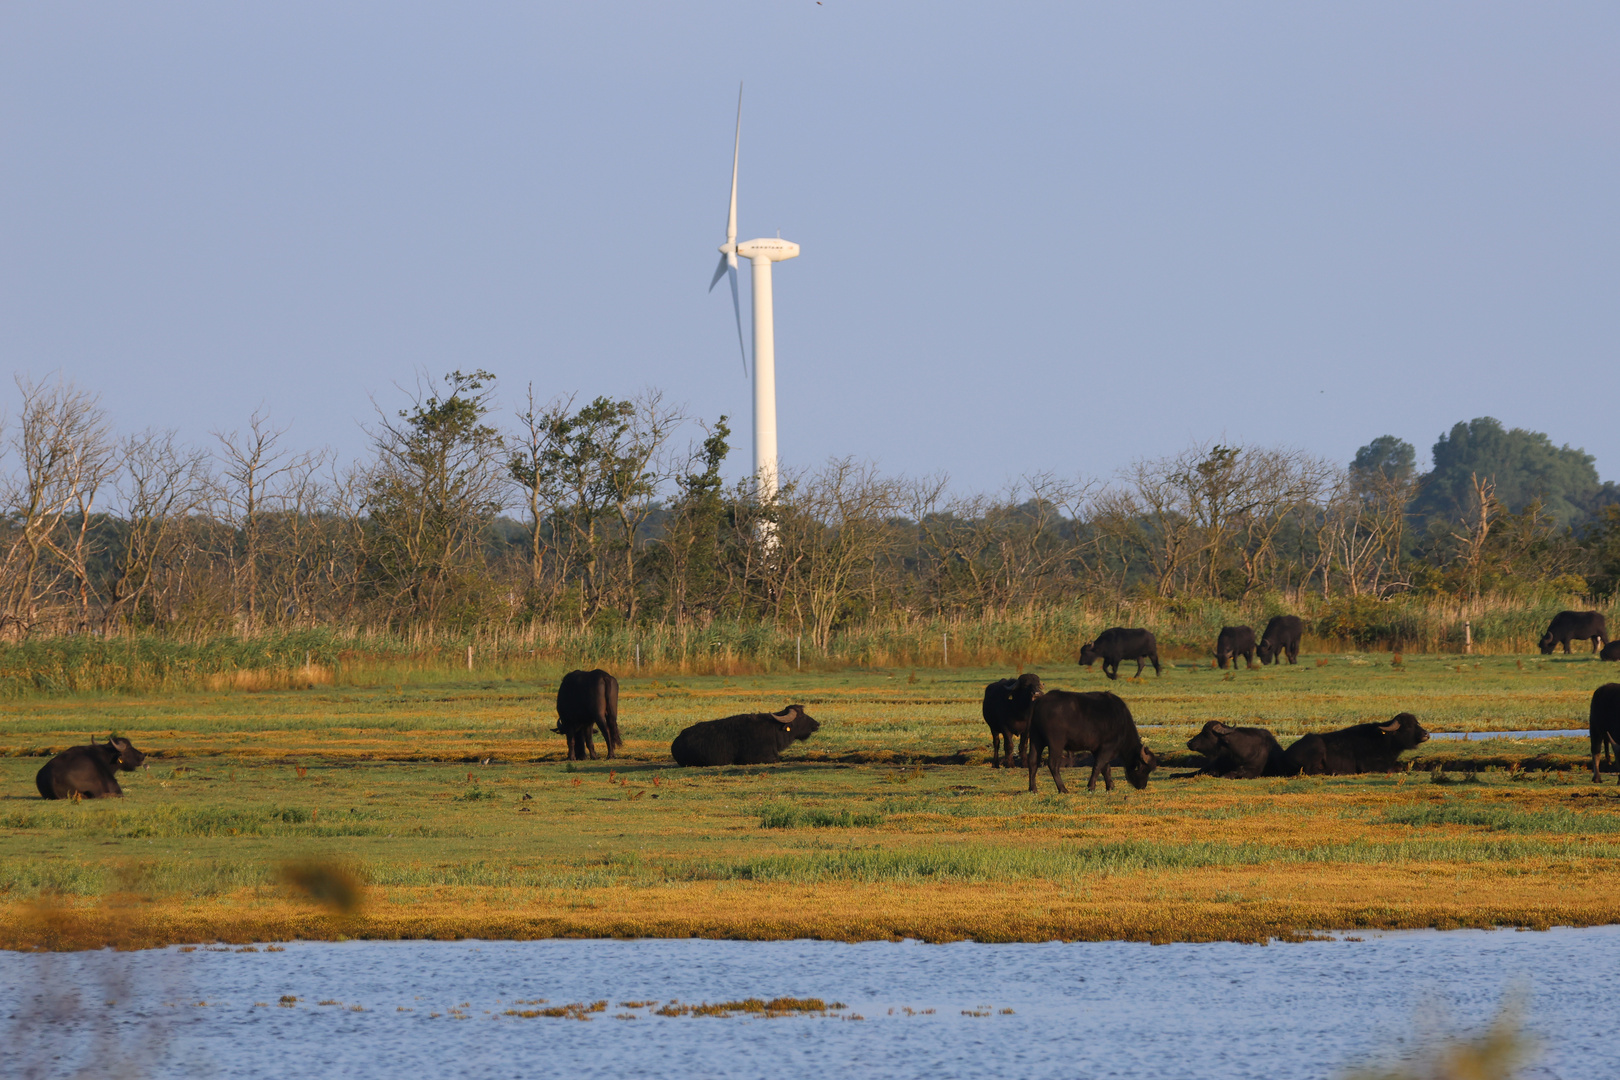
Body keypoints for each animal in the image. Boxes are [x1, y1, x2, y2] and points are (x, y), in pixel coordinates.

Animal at [1023, 693, 1153, 793]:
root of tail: (1040, 701)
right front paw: (1091, 787)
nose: (1142, 786)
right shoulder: (1107, 748)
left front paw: (1110, 786)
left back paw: (1033, 789)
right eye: (1144, 769)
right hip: (1056, 744)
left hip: (1036, 740)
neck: (1121, 722)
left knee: (1033, 761)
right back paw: (1063, 789)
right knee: (1053, 763)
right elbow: (1098, 765)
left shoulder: (1097, 749)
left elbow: (1105, 768)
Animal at [1276, 712, 1432, 773]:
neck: (1385, 740)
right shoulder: (1369, 765)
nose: (1426, 734)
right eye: (1409, 726)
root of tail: (1284, 755)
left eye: (1417, 723)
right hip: (1317, 747)